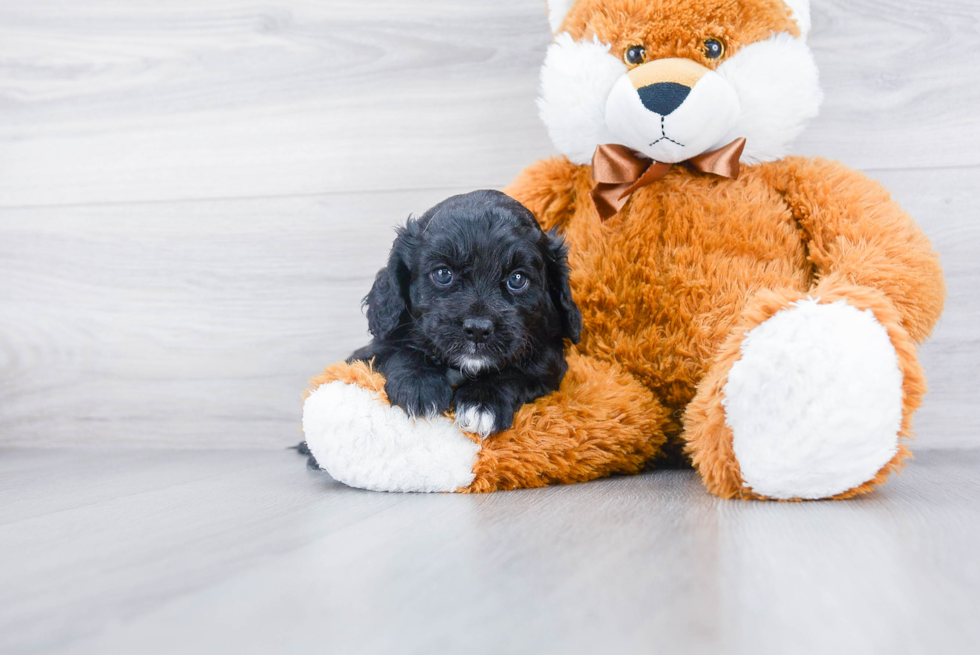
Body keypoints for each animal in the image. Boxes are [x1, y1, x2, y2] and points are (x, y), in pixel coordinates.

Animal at [348, 190, 580, 440]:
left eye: (517, 279)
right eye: (443, 274)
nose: (478, 329)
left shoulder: (549, 362)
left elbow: (517, 374)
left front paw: (482, 402)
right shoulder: (373, 349)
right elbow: (397, 350)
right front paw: (419, 387)